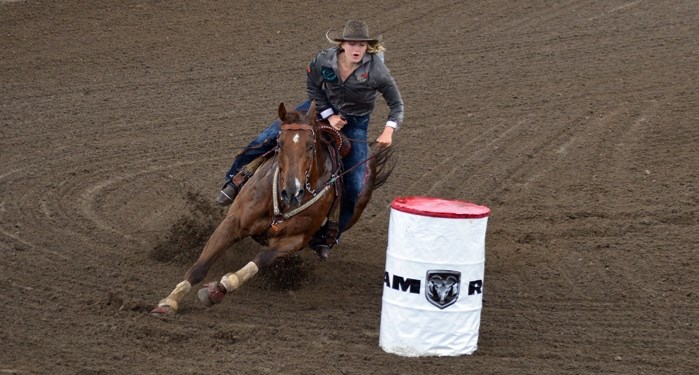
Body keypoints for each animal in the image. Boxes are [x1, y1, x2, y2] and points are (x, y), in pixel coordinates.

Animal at [151, 101, 394, 316]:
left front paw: (218, 288)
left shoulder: (292, 241)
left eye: (310, 145)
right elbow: (200, 266)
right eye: (280, 143)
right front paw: (169, 301)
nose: (292, 191)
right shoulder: (233, 223)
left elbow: (260, 260)